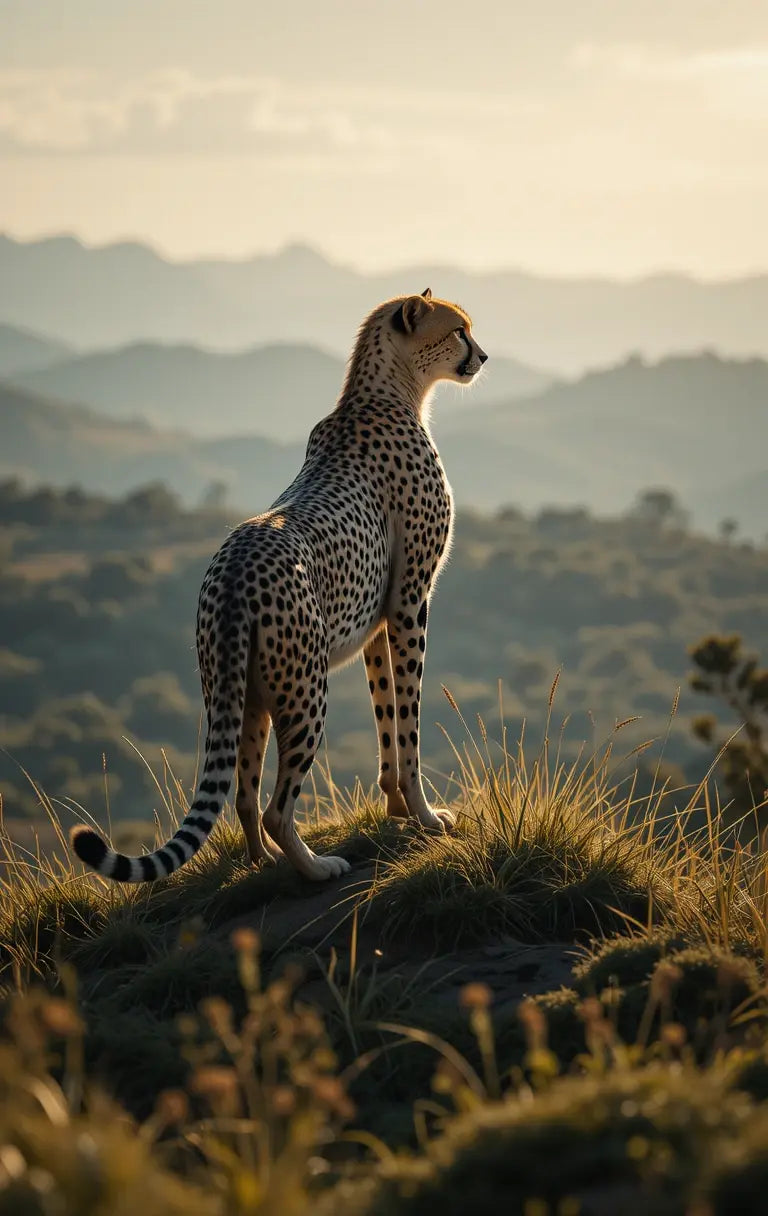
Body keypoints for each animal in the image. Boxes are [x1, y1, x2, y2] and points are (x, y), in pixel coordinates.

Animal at [70, 288, 488, 883]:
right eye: (458, 330)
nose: (483, 356)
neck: (391, 391)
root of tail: (233, 571)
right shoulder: (411, 601)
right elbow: (408, 719)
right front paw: (426, 816)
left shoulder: (378, 618)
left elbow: (386, 712)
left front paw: (395, 808)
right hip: (306, 689)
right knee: (273, 807)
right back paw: (316, 866)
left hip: (240, 694)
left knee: (242, 794)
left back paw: (259, 863)